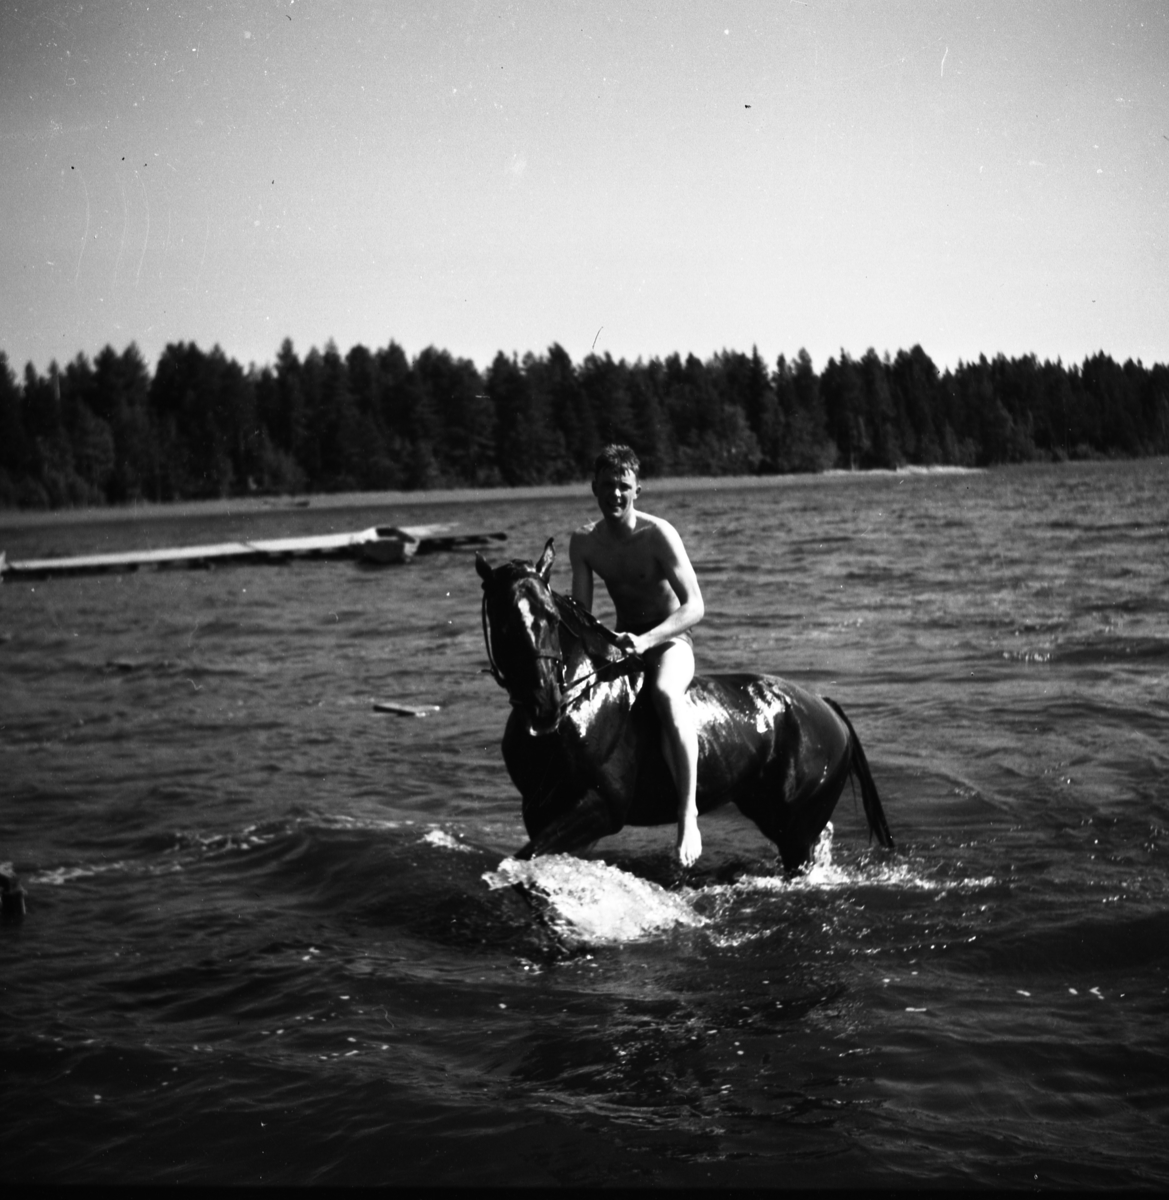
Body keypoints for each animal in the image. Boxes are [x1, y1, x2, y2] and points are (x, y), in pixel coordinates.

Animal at [476, 539, 894, 873]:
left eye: (550, 617)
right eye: (503, 622)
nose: (545, 703)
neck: (581, 698)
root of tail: (826, 709)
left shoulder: (601, 806)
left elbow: (523, 857)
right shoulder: (539, 810)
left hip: (797, 826)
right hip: (768, 811)